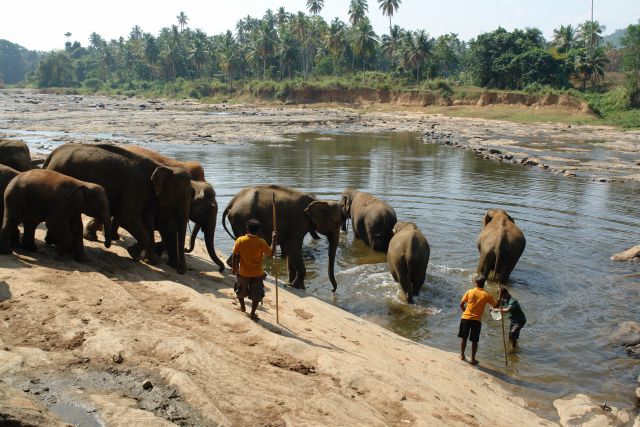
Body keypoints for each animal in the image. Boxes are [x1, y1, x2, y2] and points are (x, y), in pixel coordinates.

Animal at [43, 144, 190, 274]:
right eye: (179, 199)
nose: (181, 271)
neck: (164, 166)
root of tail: (52, 155)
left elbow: (147, 222)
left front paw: (153, 261)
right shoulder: (137, 187)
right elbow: (127, 217)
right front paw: (133, 254)